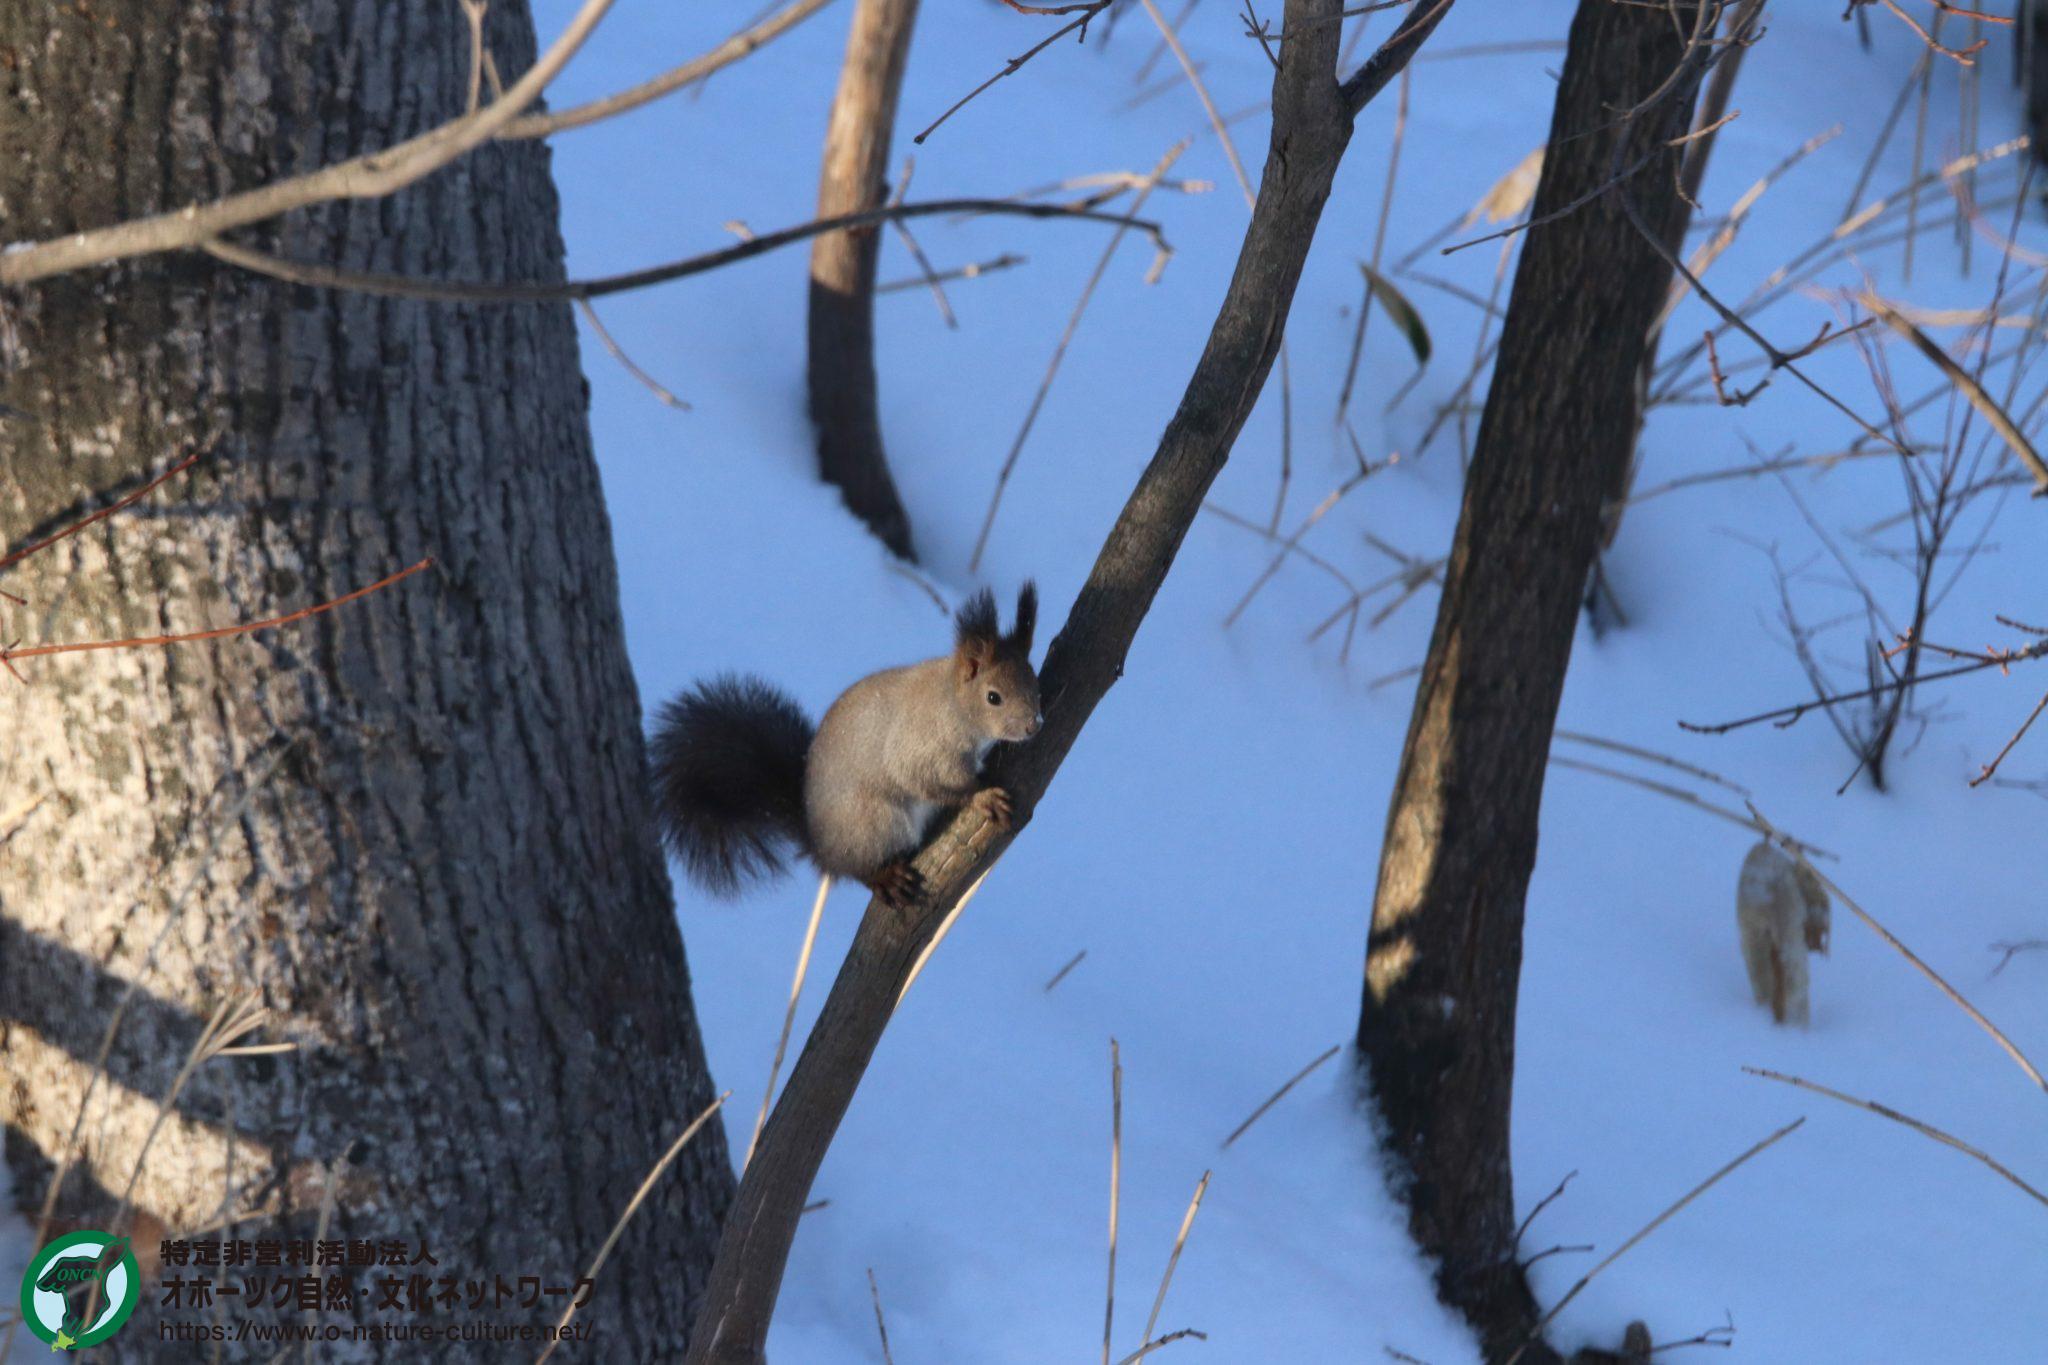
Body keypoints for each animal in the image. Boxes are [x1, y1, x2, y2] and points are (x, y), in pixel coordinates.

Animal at [647, 581, 1040, 908]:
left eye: (1033, 680)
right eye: (993, 697)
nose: (1032, 727)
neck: (954, 705)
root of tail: (821, 847)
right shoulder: (921, 745)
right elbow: (926, 779)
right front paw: (981, 796)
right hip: (874, 821)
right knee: (857, 870)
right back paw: (884, 877)